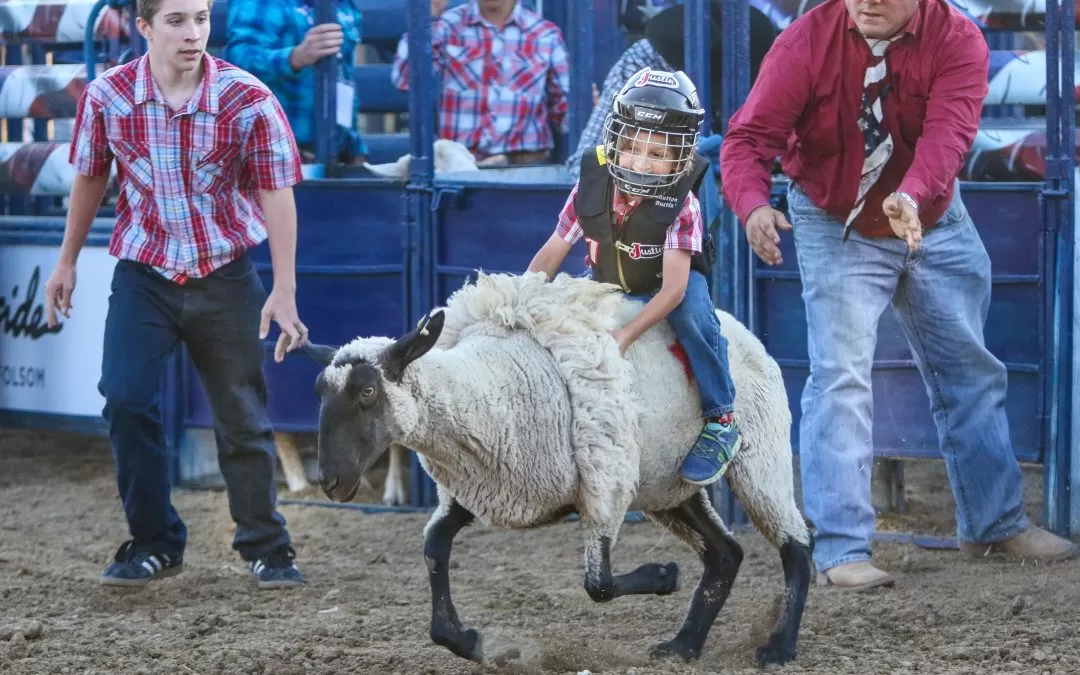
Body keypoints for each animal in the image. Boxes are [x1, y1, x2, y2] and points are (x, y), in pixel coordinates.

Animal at [302, 271, 812, 665]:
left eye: (368, 392)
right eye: (319, 392)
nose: (329, 480)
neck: (488, 388)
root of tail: (742, 330)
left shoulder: (603, 487)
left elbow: (599, 584)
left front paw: (664, 575)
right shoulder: (480, 487)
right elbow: (433, 549)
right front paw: (472, 642)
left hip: (759, 456)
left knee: (796, 544)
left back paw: (777, 648)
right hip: (668, 485)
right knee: (726, 554)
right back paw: (683, 646)